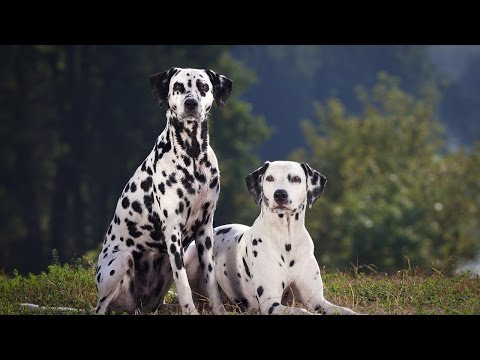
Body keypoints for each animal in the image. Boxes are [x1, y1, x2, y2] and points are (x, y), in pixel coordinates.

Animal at [94, 67, 232, 316]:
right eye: (177, 87)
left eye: (203, 87)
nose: (190, 103)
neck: (193, 156)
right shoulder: (172, 232)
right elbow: (184, 284)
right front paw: (191, 311)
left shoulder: (205, 230)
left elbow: (211, 282)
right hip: (121, 261)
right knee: (100, 307)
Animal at [184, 162, 356, 314]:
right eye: (270, 178)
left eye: (296, 178)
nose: (280, 194)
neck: (286, 239)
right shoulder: (271, 304)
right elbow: (301, 311)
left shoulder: (317, 300)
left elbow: (345, 310)